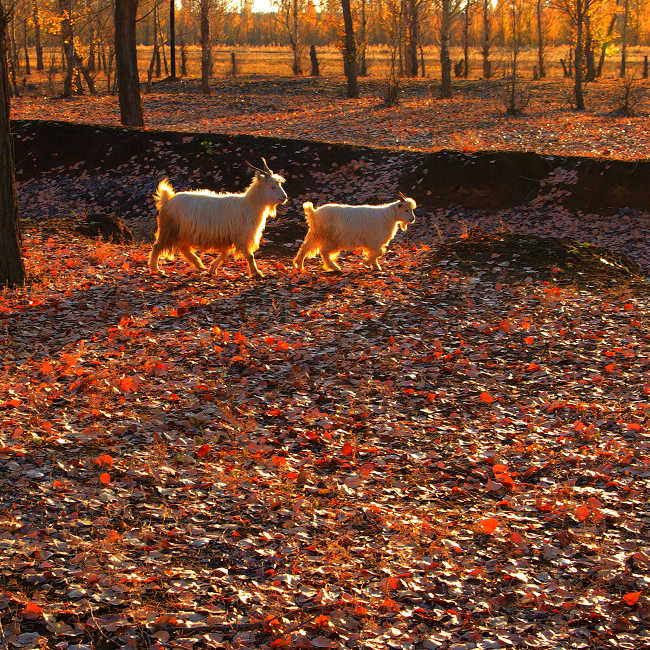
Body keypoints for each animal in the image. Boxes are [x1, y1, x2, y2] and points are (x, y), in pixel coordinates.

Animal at [151, 159, 288, 278]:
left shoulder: (230, 236)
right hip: (168, 230)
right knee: (157, 246)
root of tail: (167, 200)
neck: (249, 204)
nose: (285, 197)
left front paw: (212, 269)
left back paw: (200, 266)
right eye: (272, 186)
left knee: (183, 248)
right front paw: (257, 273)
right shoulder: (242, 236)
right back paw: (155, 269)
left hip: (181, 232)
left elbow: (225, 254)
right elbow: (250, 256)